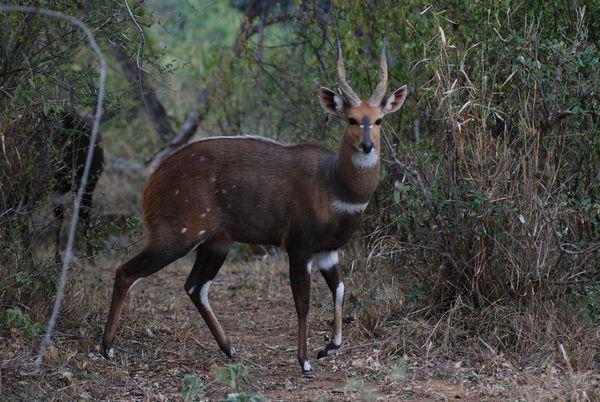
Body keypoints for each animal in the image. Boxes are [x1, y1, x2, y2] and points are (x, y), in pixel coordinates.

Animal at [103, 39, 408, 378]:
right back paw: (108, 348)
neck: (335, 185)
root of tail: (153, 180)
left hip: (217, 242)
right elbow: (303, 302)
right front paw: (305, 362)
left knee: (195, 286)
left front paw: (328, 348)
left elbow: (340, 289)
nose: (367, 146)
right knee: (126, 272)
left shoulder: (328, 250)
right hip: (177, 235)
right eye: (351, 119)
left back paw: (230, 349)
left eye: (378, 120)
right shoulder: (298, 246)